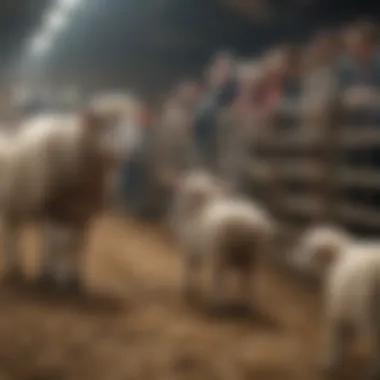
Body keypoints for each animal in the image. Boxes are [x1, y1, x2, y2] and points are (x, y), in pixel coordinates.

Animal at [171, 171, 274, 308]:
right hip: (254, 257)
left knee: (219, 280)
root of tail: (245, 223)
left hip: (219, 254)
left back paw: (217, 302)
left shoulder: (190, 250)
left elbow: (190, 270)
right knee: (249, 280)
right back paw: (245, 302)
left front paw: (188, 290)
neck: (200, 204)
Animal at [290, 226, 380, 380]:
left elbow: (336, 338)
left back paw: (372, 372)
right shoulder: (347, 309)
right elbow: (346, 337)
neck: (340, 254)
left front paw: (332, 361)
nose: (291, 259)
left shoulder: (336, 310)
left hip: (371, 315)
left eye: (307, 249)